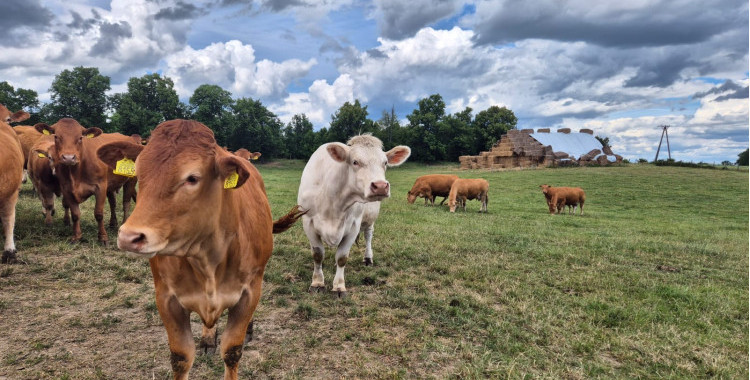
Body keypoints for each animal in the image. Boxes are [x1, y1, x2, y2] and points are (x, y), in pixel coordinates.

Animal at [97, 119, 306, 380]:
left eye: (192, 178)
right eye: (138, 172)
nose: (128, 237)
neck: (207, 259)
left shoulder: (249, 293)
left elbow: (232, 350)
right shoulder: (166, 298)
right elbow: (181, 357)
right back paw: (208, 339)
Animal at [296, 134, 412, 296]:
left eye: (385, 162)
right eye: (355, 161)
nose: (381, 186)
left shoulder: (353, 225)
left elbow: (342, 257)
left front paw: (339, 286)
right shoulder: (308, 222)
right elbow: (318, 255)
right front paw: (317, 283)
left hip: (370, 219)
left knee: (368, 235)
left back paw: (368, 258)